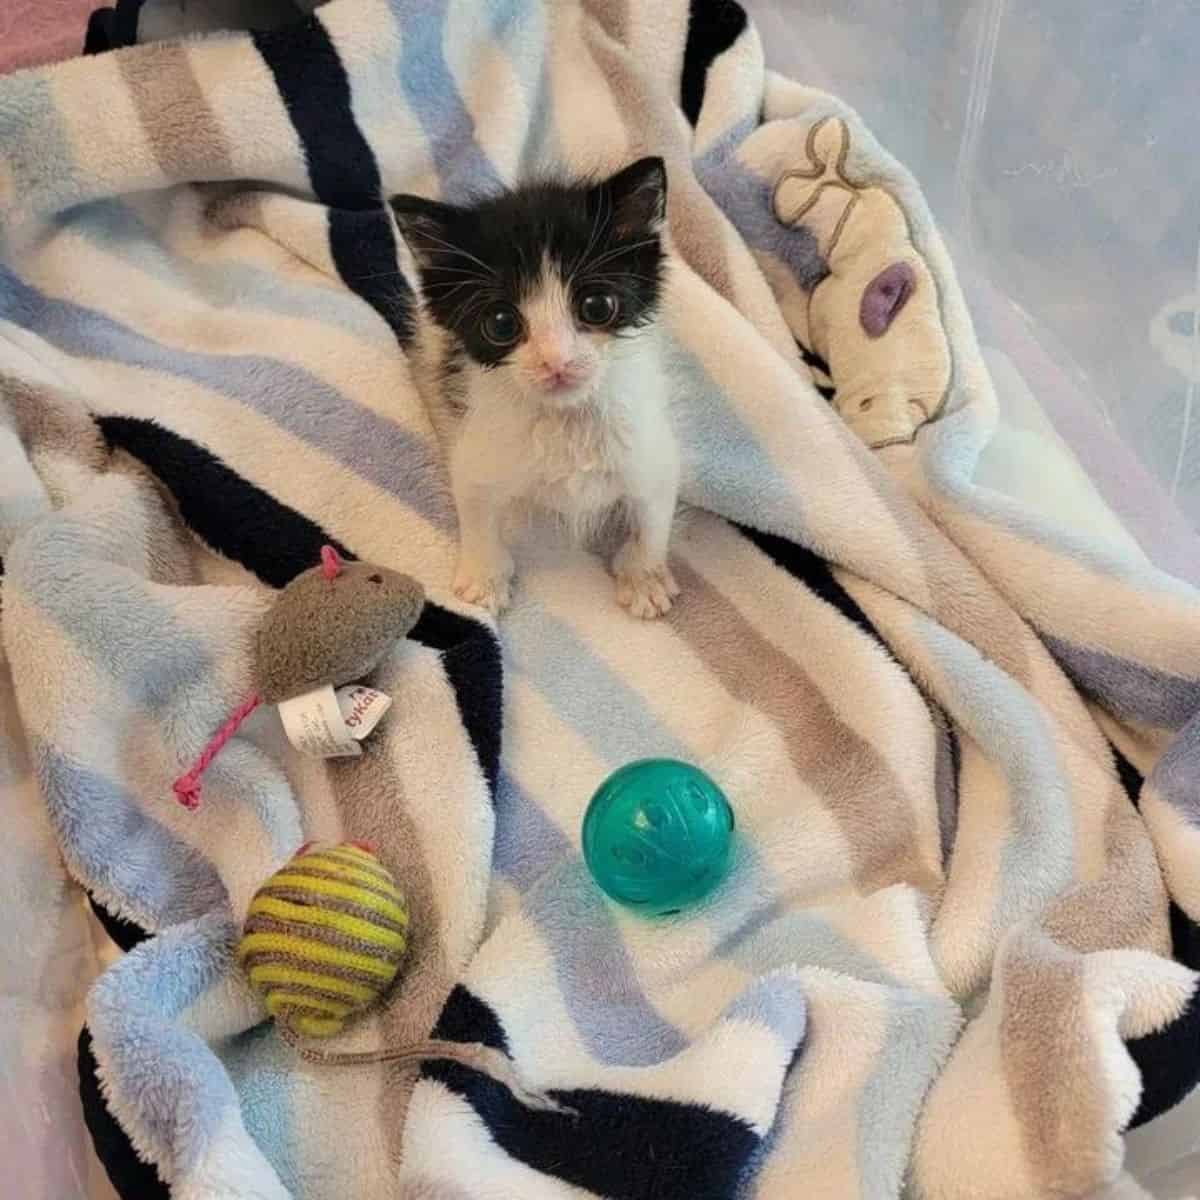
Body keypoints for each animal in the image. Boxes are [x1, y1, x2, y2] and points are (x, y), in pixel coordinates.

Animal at [388, 157, 681, 619]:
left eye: (597, 306)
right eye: (501, 324)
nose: (556, 361)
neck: (566, 419)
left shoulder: (651, 447)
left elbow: (653, 511)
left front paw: (645, 578)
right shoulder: (477, 444)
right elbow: (475, 505)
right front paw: (484, 576)